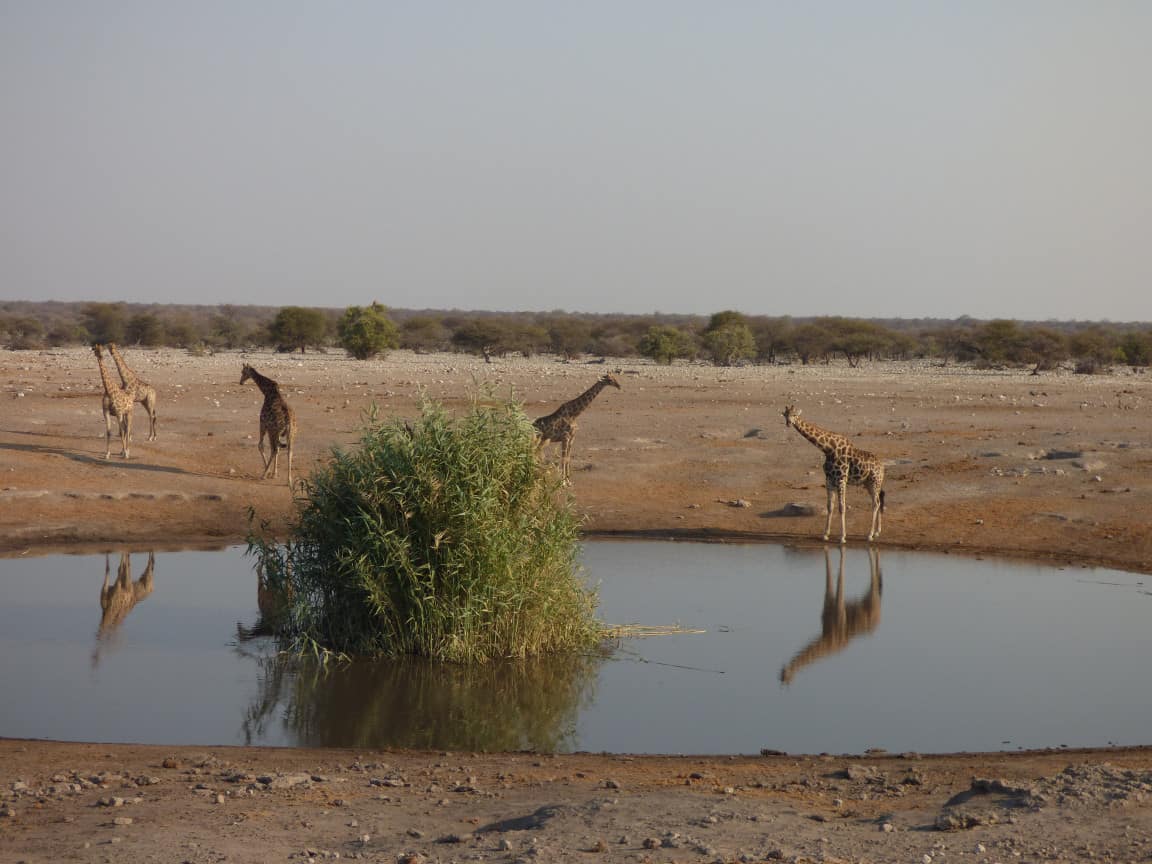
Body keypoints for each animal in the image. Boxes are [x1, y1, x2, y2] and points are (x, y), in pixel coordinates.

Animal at [778, 405, 884, 541]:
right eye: (785, 415)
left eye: (795, 415)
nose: (789, 423)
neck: (828, 449)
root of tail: (882, 467)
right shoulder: (829, 480)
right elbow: (830, 506)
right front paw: (825, 534)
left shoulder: (841, 479)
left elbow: (842, 507)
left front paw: (842, 536)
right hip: (868, 483)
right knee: (878, 502)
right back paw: (877, 532)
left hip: (875, 482)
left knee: (876, 503)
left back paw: (870, 535)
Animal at [778, 550, 884, 686]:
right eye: (781, 676)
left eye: (786, 677)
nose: (782, 671)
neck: (827, 637)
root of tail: (878, 619)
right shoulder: (828, 601)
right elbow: (828, 571)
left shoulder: (839, 609)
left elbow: (840, 574)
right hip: (866, 600)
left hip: (871, 600)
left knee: (874, 580)